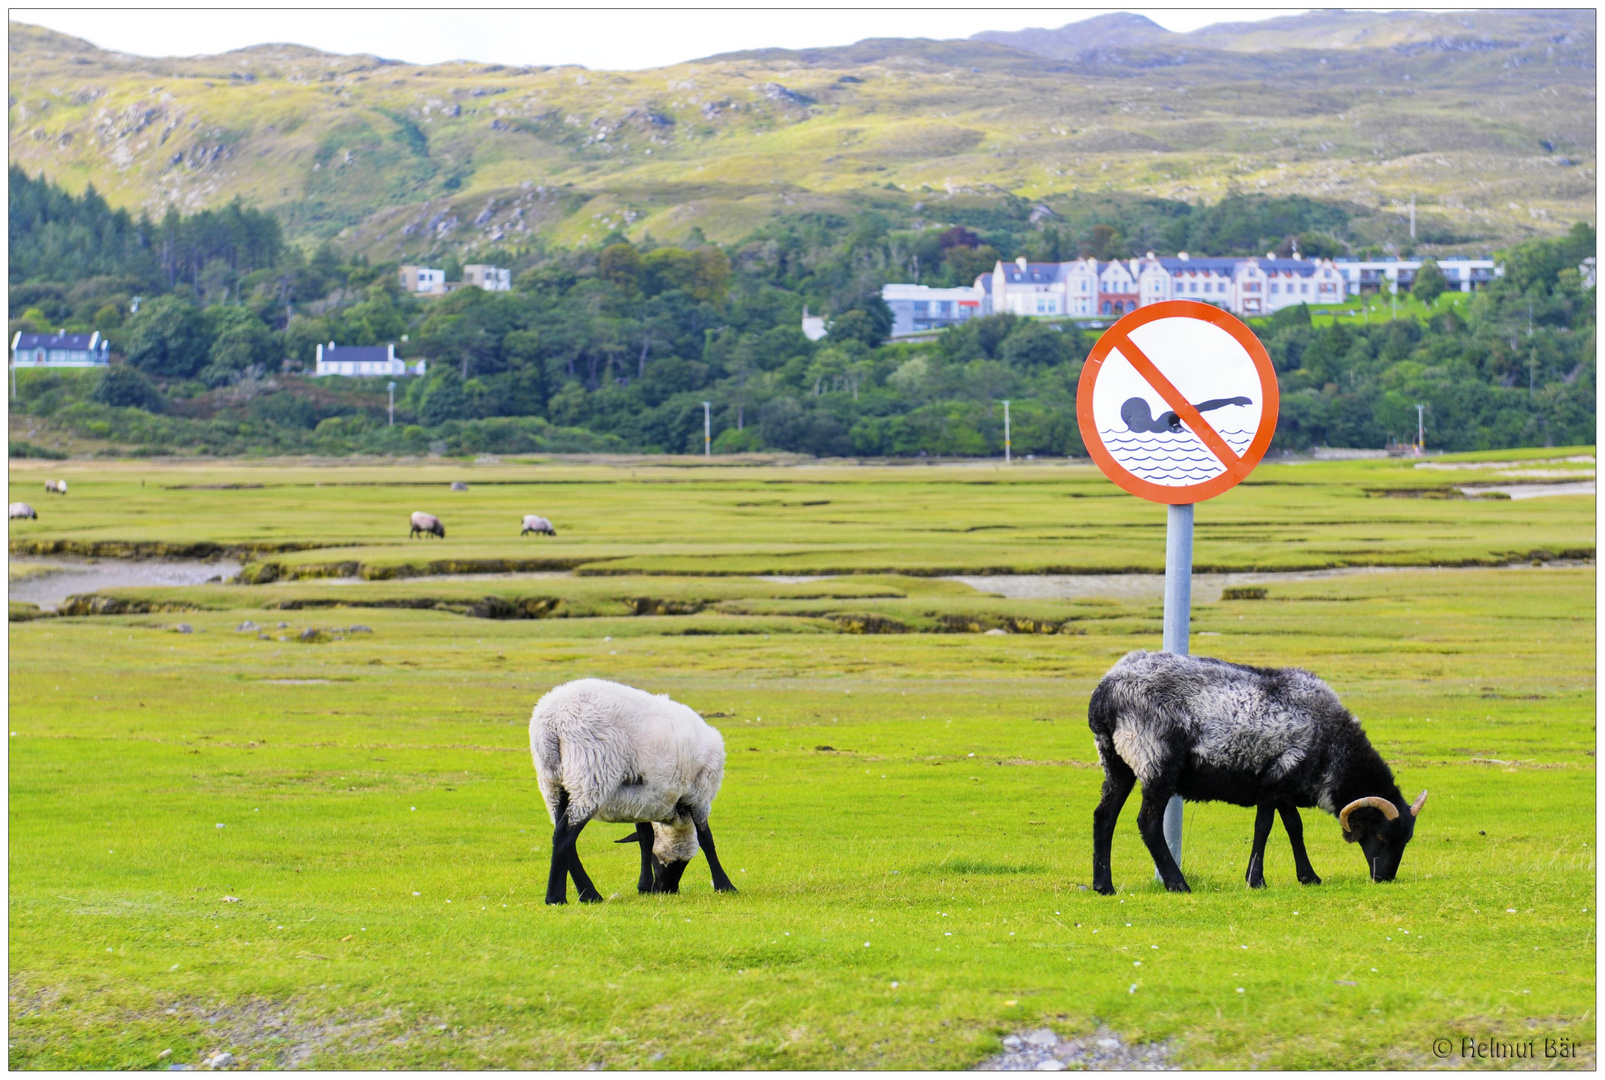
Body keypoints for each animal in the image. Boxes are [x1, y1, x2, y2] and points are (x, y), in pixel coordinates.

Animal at [536, 683, 741, 898]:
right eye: (679, 864)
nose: (667, 889)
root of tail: (553, 721)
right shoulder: (699, 795)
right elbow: (706, 838)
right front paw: (725, 885)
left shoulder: (642, 800)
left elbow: (646, 838)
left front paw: (644, 886)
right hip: (591, 774)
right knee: (564, 835)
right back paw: (558, 897)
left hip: (552, 782)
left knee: (564, 836)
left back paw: (587, 894)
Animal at [1084, 648, 1425, 892]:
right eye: (1380, 835)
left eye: (1406, 840)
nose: (1384, 878)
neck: (1331, 742)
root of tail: (1105, 693)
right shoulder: (1273, 781)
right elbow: (1264, 828)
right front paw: (1256, 880)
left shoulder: (1287, 787)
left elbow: (1295, 827)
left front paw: (1309, 877)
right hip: (1157, 762)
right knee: (1148, 823)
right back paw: (1177, 883)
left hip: (1116, 762)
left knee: (1104, 817)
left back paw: (1103, 885)